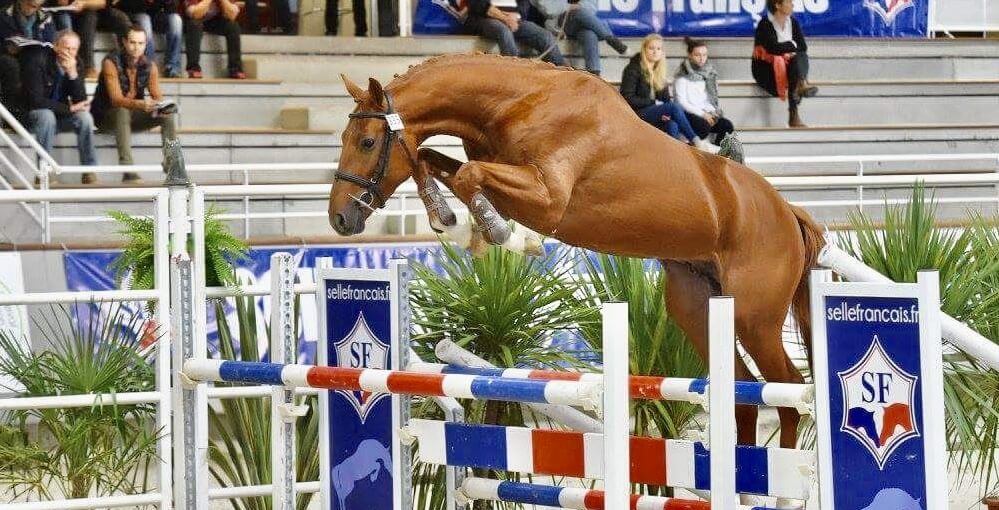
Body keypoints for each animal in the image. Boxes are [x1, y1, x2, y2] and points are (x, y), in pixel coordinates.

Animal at [327, 53, 825, 454]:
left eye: (367, 142)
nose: (339, 219)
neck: (518, 102)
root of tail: (787, 211)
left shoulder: (546, 199)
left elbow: (468, 175)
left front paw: (506, 237)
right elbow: (431, 161)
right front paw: (453, 222)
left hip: (756, 319)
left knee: (788, 391)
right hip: (698, 307)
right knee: (745, 393)